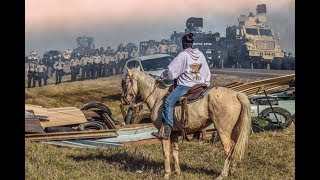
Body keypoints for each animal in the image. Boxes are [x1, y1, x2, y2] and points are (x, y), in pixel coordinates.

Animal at [121, 67, 251, 179]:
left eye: (125, 83)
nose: (124, 99)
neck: (157, 97)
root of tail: (236, 94)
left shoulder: (163, 133)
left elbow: (166, 153)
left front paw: (167, 174)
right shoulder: (173, 133)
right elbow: (175, 152)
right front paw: (177, 172)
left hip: (222, 130)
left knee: (228, 150)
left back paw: (222, 175)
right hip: (234, 130)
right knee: (237, 147)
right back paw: (232, 170)